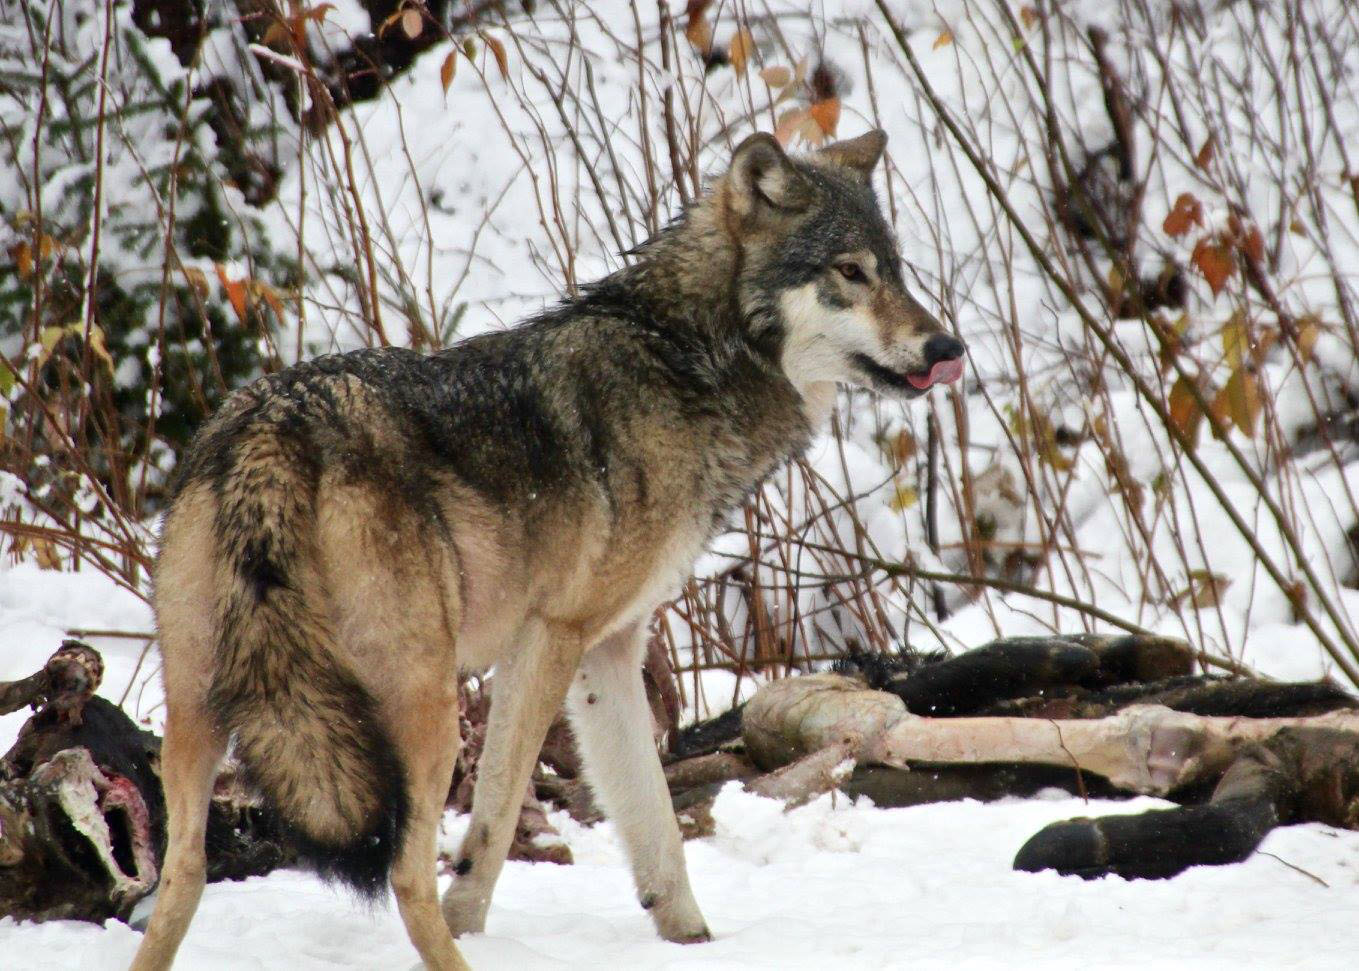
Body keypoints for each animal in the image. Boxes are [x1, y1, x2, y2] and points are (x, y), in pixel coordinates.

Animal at [125, 130, 956, 968]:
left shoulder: (609, 650)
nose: (945, 344)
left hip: (201, 708)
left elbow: (655, 825)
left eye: (896, 268)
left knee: (182, 878)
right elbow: (491, 830)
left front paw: (690, 936)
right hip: (420, 712)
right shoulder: (546, 640)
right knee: (404, 873)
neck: (687, 362)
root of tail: (273, 428)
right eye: (849, 271)